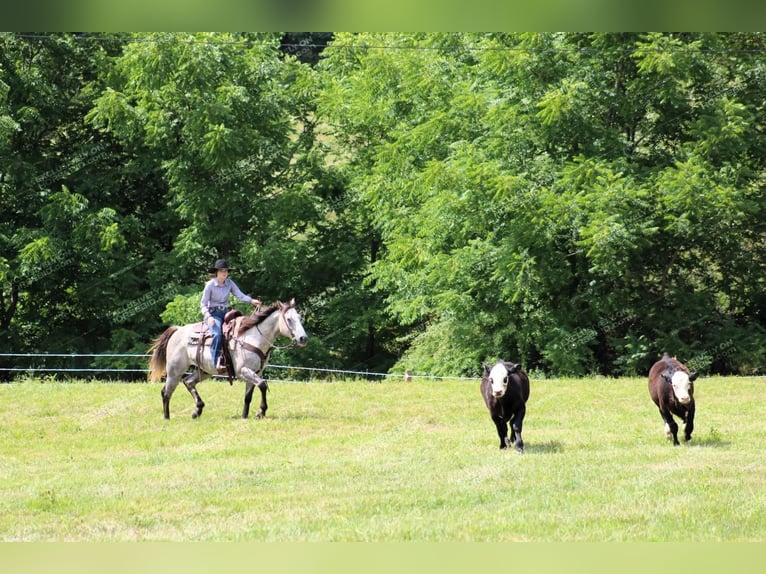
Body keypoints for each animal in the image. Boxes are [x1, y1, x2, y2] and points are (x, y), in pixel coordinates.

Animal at [148, 300, 308, 420]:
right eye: (289, 319)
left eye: (299, 318)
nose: (303, 338)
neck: (252, 337)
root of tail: (177, 330)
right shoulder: (243, 371)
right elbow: (263, 385)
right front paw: (261, 412)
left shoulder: (255, 372)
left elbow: (248, 396)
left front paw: (245, 416)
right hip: (175, 371)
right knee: (166, 392)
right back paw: (167, 417)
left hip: (204, 371)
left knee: (188, 382)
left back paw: (197, 411)